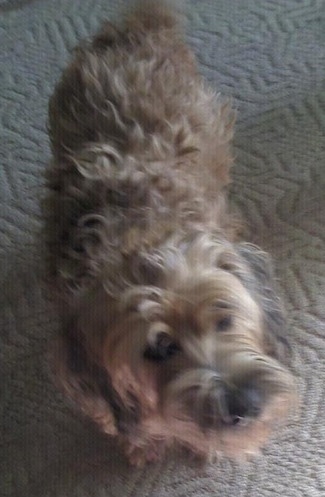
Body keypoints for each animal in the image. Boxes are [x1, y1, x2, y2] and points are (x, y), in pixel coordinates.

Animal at [45, 0, 296, 464]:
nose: (246, 404)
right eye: (158, 349)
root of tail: (136, 29)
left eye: (225, 317)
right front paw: (145, 441)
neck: (137, 231)